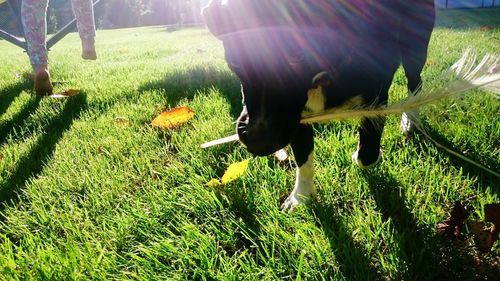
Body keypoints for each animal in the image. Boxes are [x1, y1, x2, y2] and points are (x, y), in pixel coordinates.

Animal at [202, 0, 434, 210]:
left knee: (415, 82)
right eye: (235, 62)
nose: (258, 142)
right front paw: (301, 196)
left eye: (296, 58)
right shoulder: (296, 118)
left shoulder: (376, 98)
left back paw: (410, 120)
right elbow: (303, 158)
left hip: (416, 45)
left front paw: (359, 155)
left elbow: (367, 154)